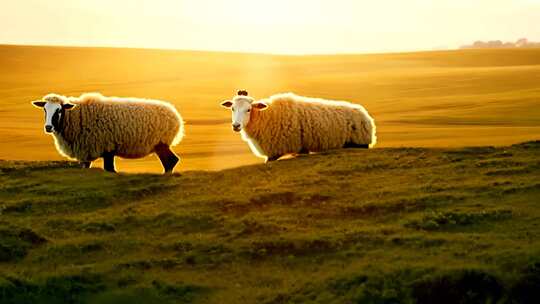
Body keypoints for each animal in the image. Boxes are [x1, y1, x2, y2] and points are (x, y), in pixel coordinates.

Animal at [31, 92, 184, 173]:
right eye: (44, 109)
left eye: (59, 110)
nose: (48, 127)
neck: (76, 117)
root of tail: (176, 117)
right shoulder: (87, 150)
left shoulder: (108, 147)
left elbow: (110, 169)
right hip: (160, 145)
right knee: (171, 161)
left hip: (161, 143)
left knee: (171, 161)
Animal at [219, 90, 376, 162]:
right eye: (232, 108)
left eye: (248, 109)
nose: (236, 126)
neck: (265, 116)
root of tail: (366, 116)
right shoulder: (300, 149)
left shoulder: (278, 151)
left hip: (359, 144)